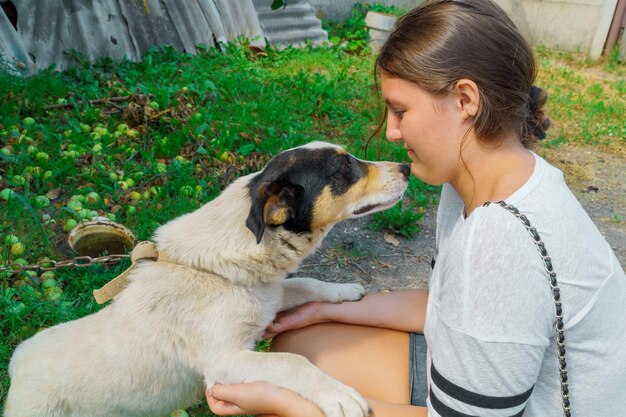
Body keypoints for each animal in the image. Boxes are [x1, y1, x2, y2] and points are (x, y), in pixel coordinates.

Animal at [6, 141, 410, 414]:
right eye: (344, 168)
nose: (406, 166)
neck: (226, 272)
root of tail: (16, 366)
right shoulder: (225, 361)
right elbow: (291, 361)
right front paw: (338, 394)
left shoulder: (270, 296)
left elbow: (303, 283)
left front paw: (345, 290)